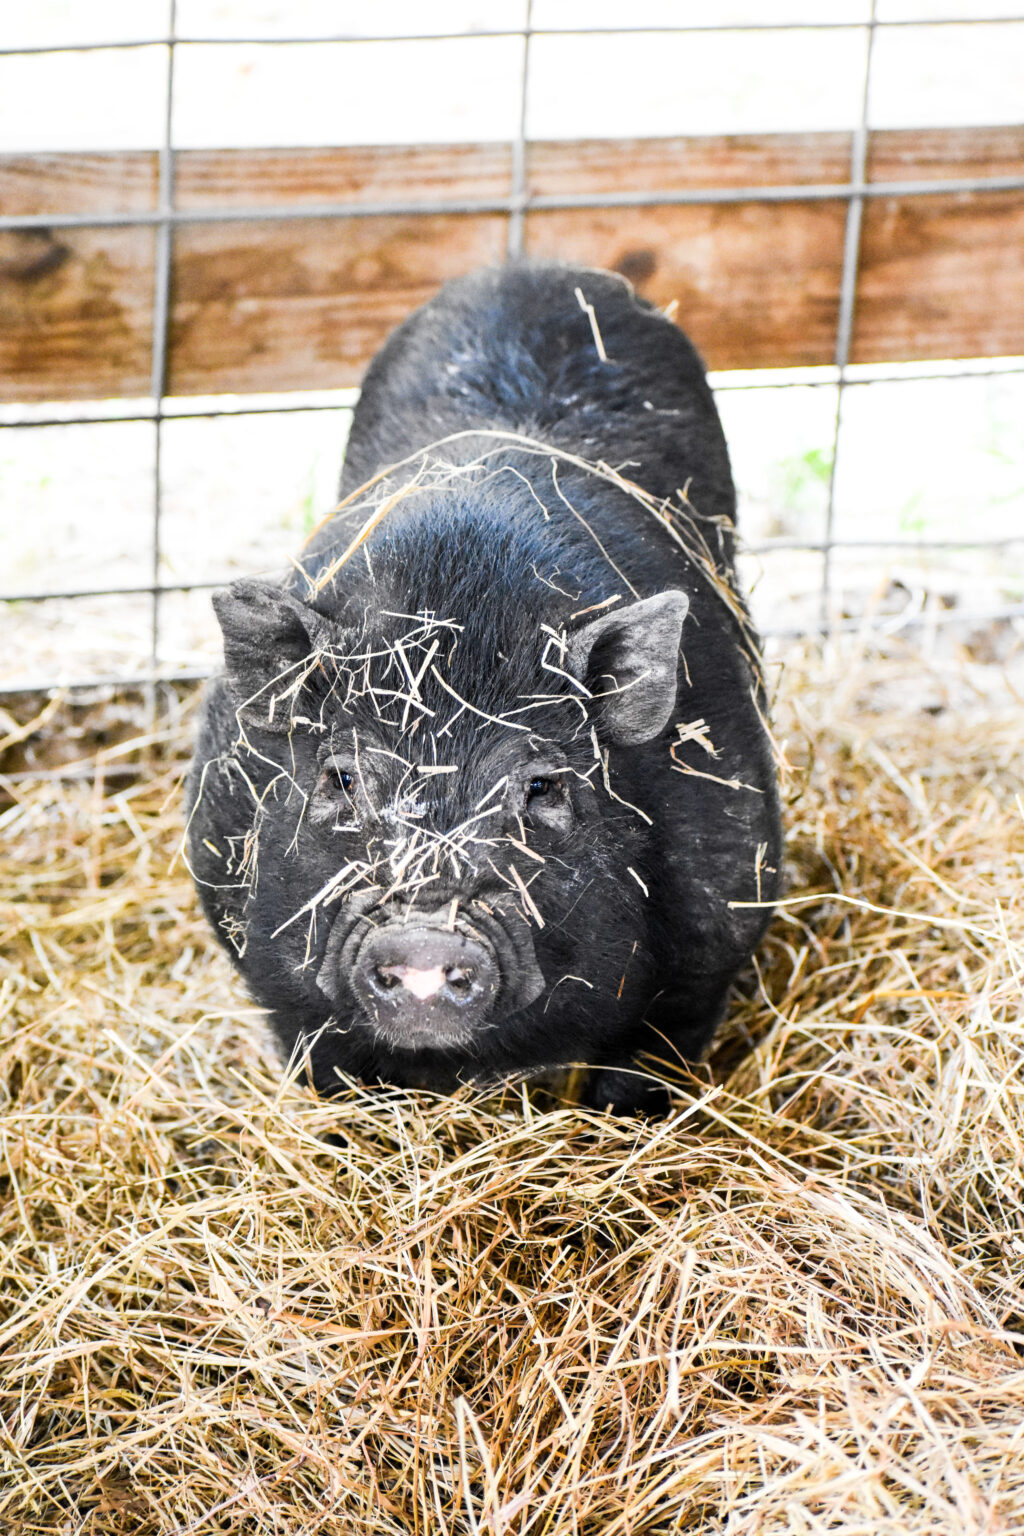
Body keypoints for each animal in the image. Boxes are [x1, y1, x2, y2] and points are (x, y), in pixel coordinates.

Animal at [185, 261, 782, 1115]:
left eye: (541, 787)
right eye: (341, 778)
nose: (426, 939)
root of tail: (532, 268)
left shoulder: (721, 917)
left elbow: (647, 1062)